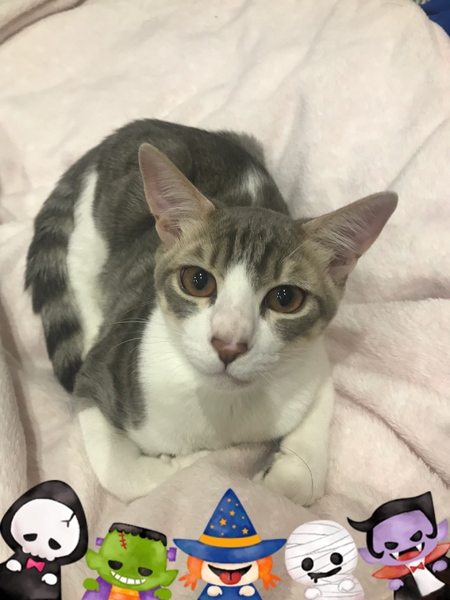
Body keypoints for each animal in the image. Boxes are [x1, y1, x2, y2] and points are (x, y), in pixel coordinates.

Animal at [25, 119, 397, 504]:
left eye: (285, 298)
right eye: (198, 281)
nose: (229, 344)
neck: (225, 406)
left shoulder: (314, 367)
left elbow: (307, 475)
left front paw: (284, 476)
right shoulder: (96, 376)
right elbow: (119, 471)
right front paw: (192, 463)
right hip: (90, 242)